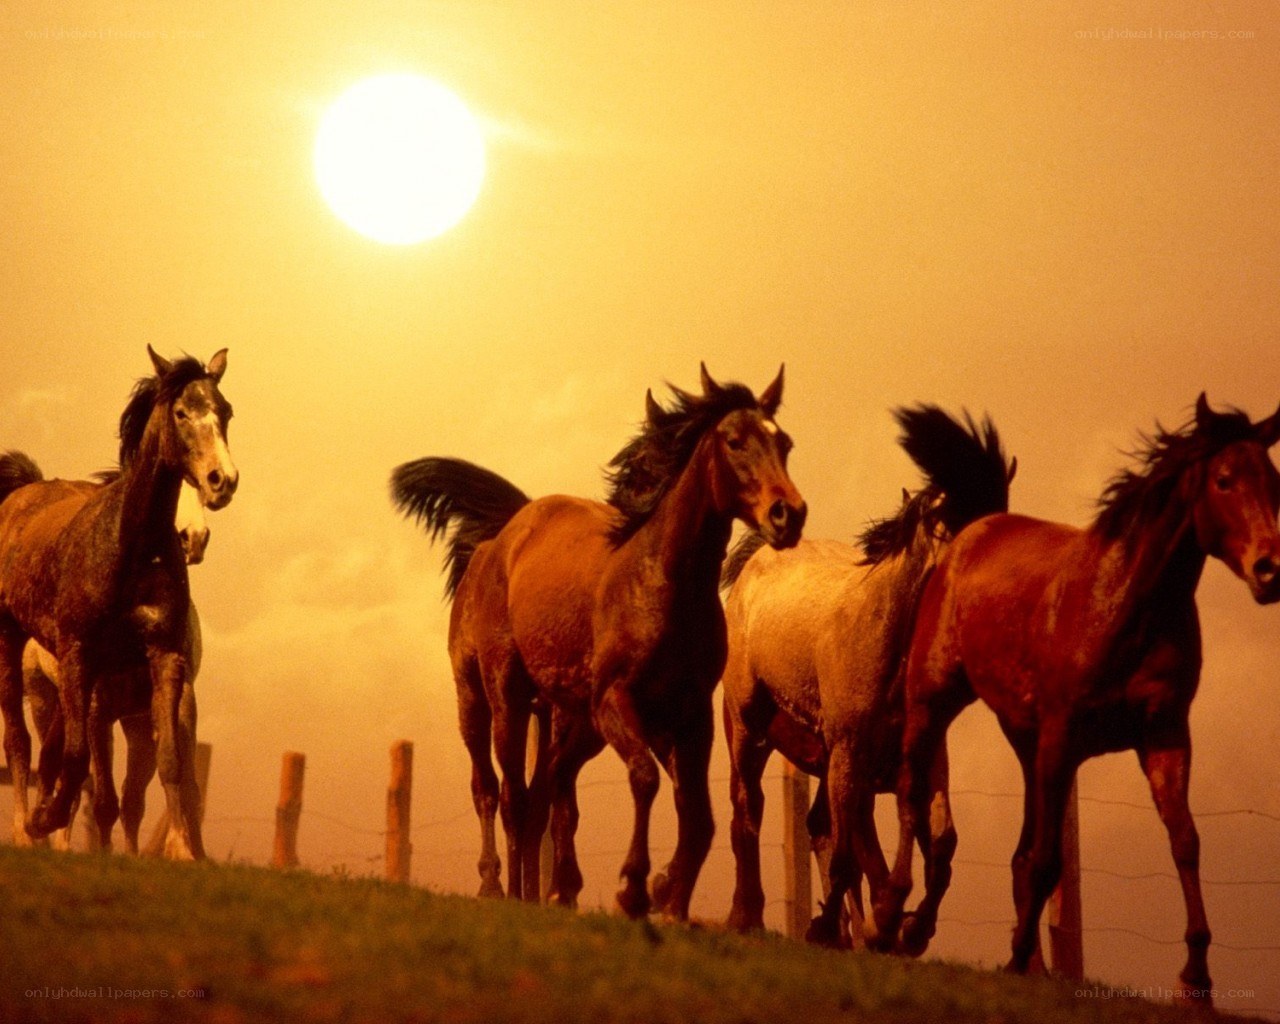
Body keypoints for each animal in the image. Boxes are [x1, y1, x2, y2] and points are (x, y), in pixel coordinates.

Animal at [20, 477, 209, 853]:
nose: (193, 537)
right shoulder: (97, 710)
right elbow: (104, 801)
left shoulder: (173, 703)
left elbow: (181, 786)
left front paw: (188, 852)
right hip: (44, 699)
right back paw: (50, 840)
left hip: (129, 721)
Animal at [392, 365, 806, 919]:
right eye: (734, 440)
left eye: (784, 442)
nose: (789, 515)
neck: (661, 583)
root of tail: (498, 541)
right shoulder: (615, 700)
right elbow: (645, 779)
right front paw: (633, 887)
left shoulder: (687, 715)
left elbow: (698, 815)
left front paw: (669, 898)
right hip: (490, 699)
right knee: (500, 792)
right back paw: (502, 889)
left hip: (572, 721)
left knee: (545, 792)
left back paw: (549, 891)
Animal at [720, 406, 1013, 947]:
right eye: (953, 526)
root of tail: (756, 559)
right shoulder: (850, 752)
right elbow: (852, 853)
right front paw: (867, 922)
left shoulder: (921, 758)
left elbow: (938, 843)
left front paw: (907, 927)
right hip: (749, 729)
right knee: (748, 810)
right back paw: (748, 915)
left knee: (823, 825)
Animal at [877, 394, 1280, 1003]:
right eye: (1225, 480)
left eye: (1273, 479)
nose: (1270, 568)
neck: (1125, 607)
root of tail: (975, 529)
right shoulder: (1062, 738)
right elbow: (1047, 861)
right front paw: (1016, 957)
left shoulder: (1164, 736)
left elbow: (1183, 841)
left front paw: (1197, 976)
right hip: (932, 699)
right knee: (912, 795)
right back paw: (897, 920)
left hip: (1024, 740)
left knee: (1010, 848)